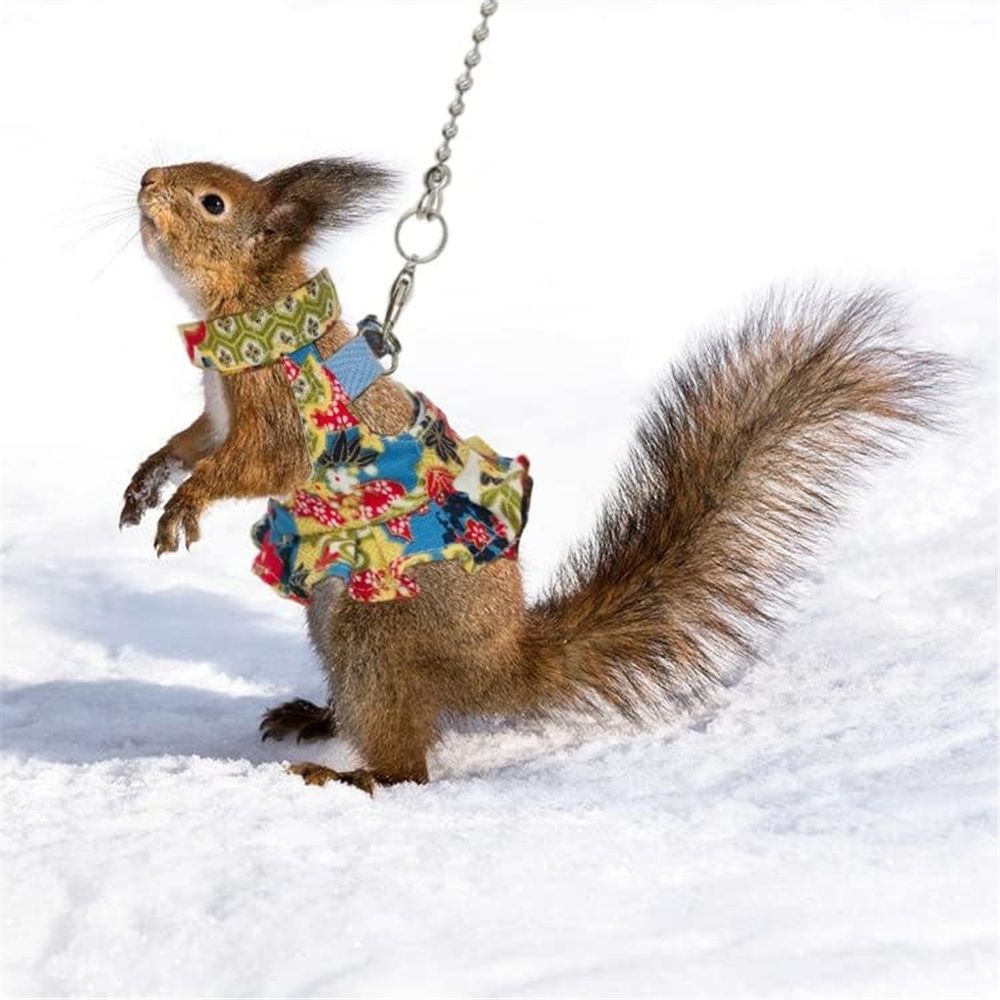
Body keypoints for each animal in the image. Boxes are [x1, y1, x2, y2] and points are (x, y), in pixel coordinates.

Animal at [123, 157, 951, 794]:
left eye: (212, 202)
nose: (147, 180)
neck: (255, 318)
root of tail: (499, 662)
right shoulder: (217, 413)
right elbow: (192, 442)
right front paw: (148, 480)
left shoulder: (277, 419)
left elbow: (254, 465)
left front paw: (185, 504)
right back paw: (316, 719)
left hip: (373, 629)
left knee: (407, 762)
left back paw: (349, 774)